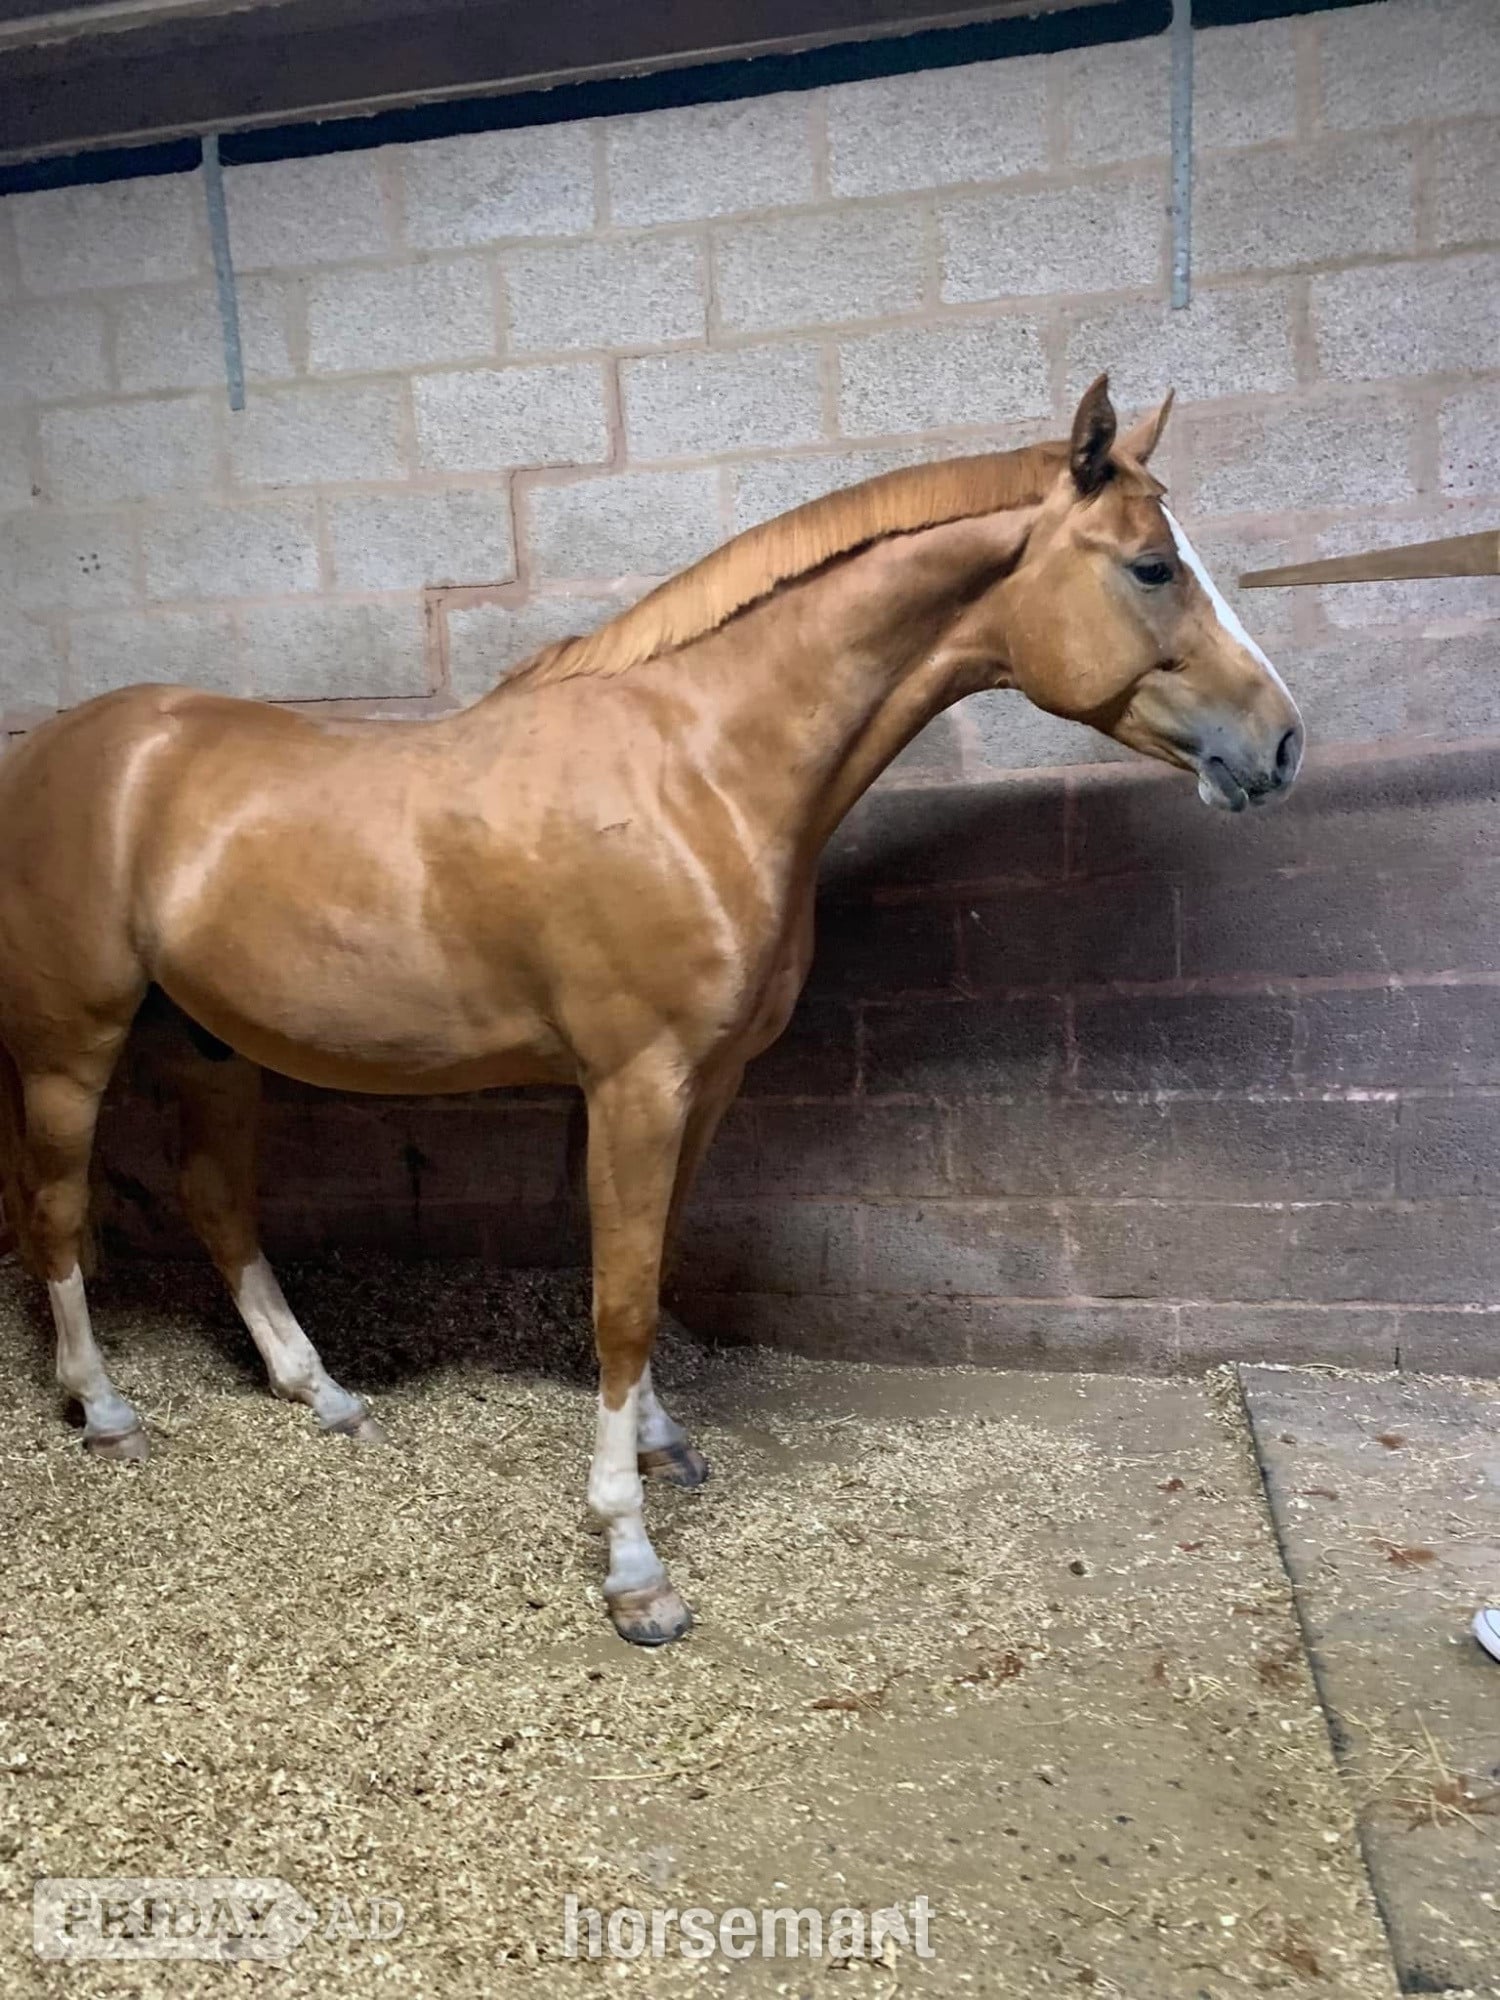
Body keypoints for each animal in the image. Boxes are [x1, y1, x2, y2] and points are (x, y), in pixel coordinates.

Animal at [0, 376, 1302, 1645]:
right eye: (1152, 566)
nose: (1281, 744)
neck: (698, 774)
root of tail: (55, 750)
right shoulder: (637, 1083)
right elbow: (620, 1302)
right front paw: (633, 1564)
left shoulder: (709, 1082)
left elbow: (659, 1261)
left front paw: (665, 1446)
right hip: (75, 1044)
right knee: (57, 1211)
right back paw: (105, 1409)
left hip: (207, 1040)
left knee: (217, 1203)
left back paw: (321, 1392)